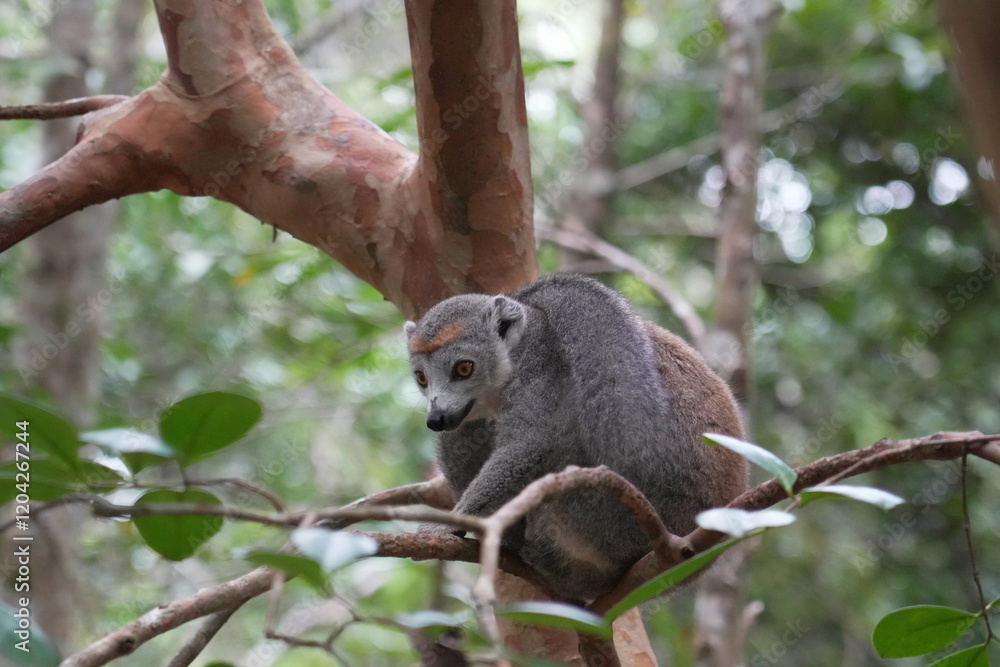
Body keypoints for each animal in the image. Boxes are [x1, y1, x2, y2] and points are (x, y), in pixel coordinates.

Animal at [405, 273, 748, 601]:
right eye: (421, 378)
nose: (436, 417)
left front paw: (451, 523)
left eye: (464, 368)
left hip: (608, 522)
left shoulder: (540, 370)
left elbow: (533, 446)